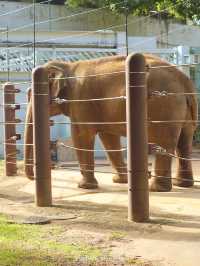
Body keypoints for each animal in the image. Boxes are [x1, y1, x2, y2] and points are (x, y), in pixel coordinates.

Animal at [23, 53, 197, 191]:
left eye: (32, 94)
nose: (32, 177)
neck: (67, 67)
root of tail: (184, 79)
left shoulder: (81, 100)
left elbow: (81, 135)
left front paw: (84, 186)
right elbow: (108, 138)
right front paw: (120, 181)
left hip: (164, 105)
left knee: (164, 141)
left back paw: (157, 188)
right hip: (182, 109)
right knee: (184, 141)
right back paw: (182, 184)